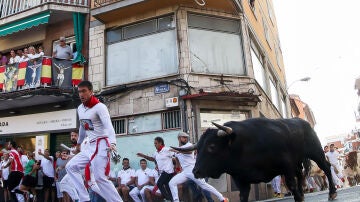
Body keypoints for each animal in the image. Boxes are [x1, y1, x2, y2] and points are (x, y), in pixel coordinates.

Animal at [173, 117, 336, 201]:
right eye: (198, 148)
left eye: (211, 146)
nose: (196, 171)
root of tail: (301, 121)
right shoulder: (241, 180)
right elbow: (243, 196)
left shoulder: (286, 166)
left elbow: (291, 184)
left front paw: (298, 197)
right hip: (298, 161)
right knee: (301, 175)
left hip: (315, 151)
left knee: (326, 167)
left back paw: (332, 192)